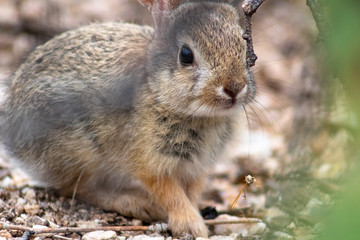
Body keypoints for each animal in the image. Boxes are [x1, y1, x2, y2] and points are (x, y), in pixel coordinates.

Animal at [0, 0, 255, 237]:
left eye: (244, 45)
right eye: (186, 55)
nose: (234, 87)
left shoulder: (196, 168)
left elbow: (190, 194)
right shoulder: (152, 164)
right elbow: (171, 194)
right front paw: (191, 226)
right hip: (80, 152)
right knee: (77, 188)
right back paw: (135, 203)